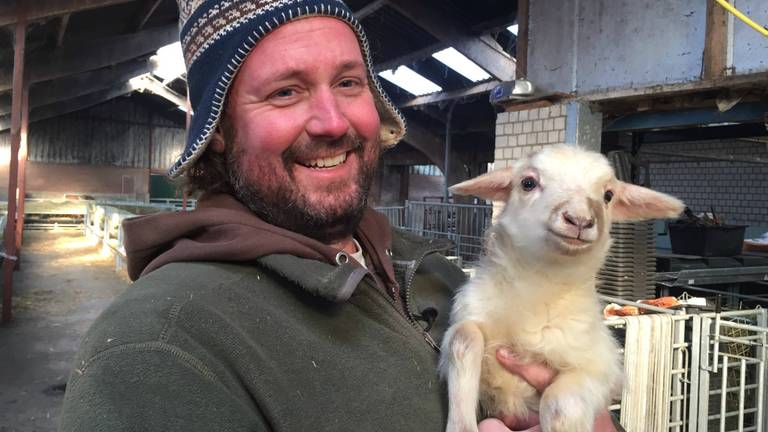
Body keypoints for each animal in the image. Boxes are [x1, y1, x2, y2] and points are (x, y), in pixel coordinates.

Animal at [440, 143, 688, 430]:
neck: (539, 287)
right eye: (527, 183)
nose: (580, 220)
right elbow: (463, 339)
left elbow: (561, 403)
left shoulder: (600, 366)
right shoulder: (473, 311)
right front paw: (461, 424)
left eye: (608, 195)